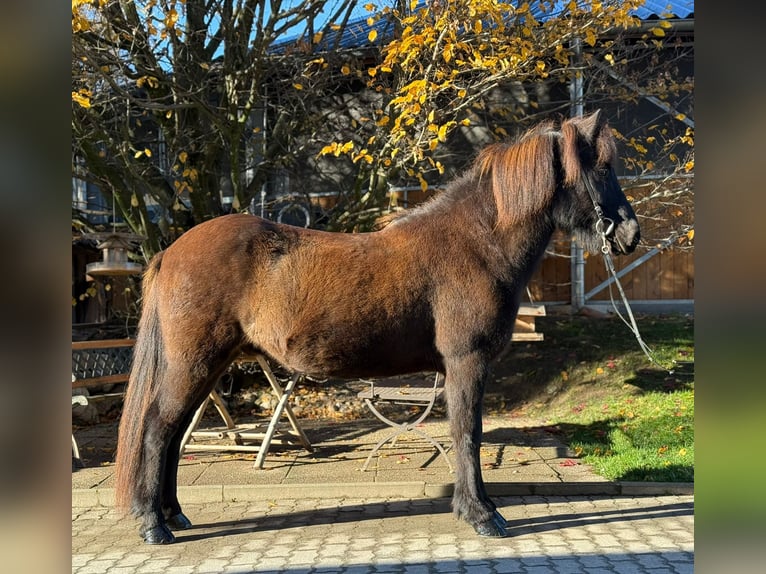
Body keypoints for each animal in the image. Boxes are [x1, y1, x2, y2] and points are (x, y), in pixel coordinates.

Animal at [115, 109, 640, 544]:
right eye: (601, 169)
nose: (631, 234)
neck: (476, 243)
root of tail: (171, 252)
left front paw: (477, 509)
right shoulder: (466, 363)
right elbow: (467, 434)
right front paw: (482, 515)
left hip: (206, 368)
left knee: (173, 435)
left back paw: (173, 515)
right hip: (193, 365)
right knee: (158, 430)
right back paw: (154, 525)